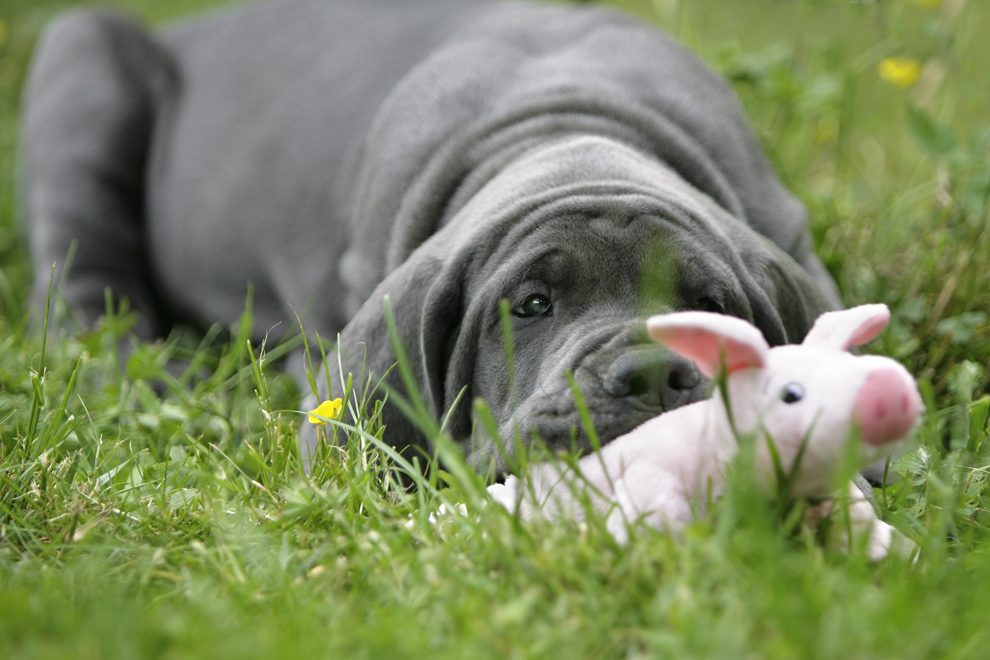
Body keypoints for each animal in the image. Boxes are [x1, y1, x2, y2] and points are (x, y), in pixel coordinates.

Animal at [21, 0, 844, 474]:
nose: (651, 374)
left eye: (712, 307)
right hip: (79, 67)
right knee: (82, 290)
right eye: (532, 305)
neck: (569, 123)